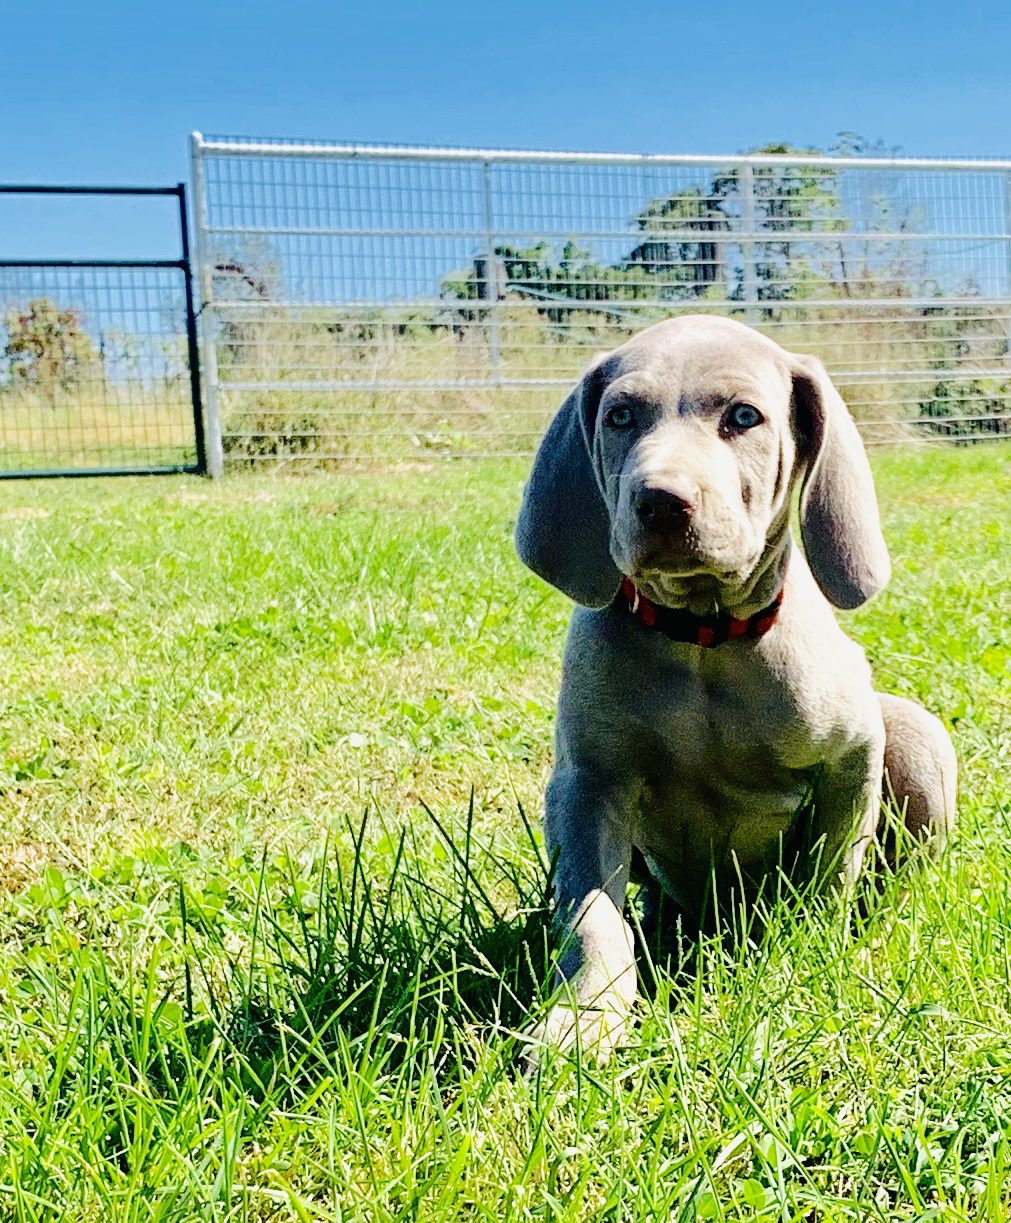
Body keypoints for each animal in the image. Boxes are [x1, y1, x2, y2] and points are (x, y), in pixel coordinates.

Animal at [518, 315, 958, 1061]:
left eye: (744, 417)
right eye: (620, 416)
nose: (660, 502)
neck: (704, 636)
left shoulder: (852, 757)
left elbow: (826, 878)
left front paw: (804, 962)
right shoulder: (586, 783)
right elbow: (591, 916)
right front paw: (582, 1017)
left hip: (917, 735)